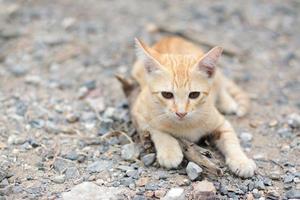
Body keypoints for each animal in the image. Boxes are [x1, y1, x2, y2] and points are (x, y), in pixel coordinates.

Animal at [132, 36, 256, 177]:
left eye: (194, 95)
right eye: (167, 94)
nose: (181, 113)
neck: (186, 125)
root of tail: (170, 37)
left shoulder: (222, 123)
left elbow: (231, 140)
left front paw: (241, 161)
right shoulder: (138, 112)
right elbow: (156, 130)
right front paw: (170, 152)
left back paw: (228, 102)